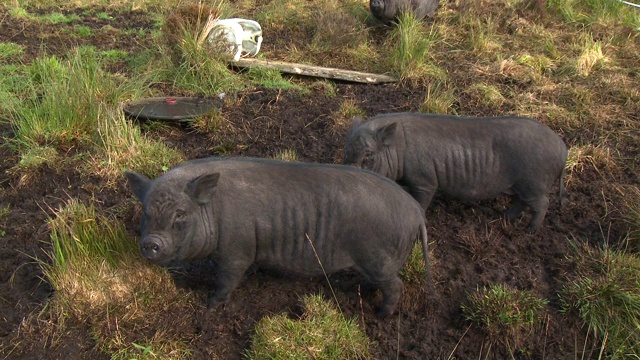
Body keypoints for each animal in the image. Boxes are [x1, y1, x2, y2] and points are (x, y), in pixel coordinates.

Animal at [125, 156, 432, 316]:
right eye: (146, 212)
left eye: (180, 214)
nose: (150, 243)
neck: (213, 210)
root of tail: (416, 212)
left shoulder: (236, 251)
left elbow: (227, 280)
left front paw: (210, 306)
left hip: (380, 258)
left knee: (396, 286)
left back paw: (380, 315)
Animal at [342, 111, 568, 232]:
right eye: (347, 150)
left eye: (369, 154)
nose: (350, 172)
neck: (399, 147)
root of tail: (563, 147)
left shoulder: (425, 180)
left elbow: (422, 200)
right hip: (521, 185)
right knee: (520, 202)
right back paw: (505, 218)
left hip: (534, 183)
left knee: (543, 203)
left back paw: (530, 230)